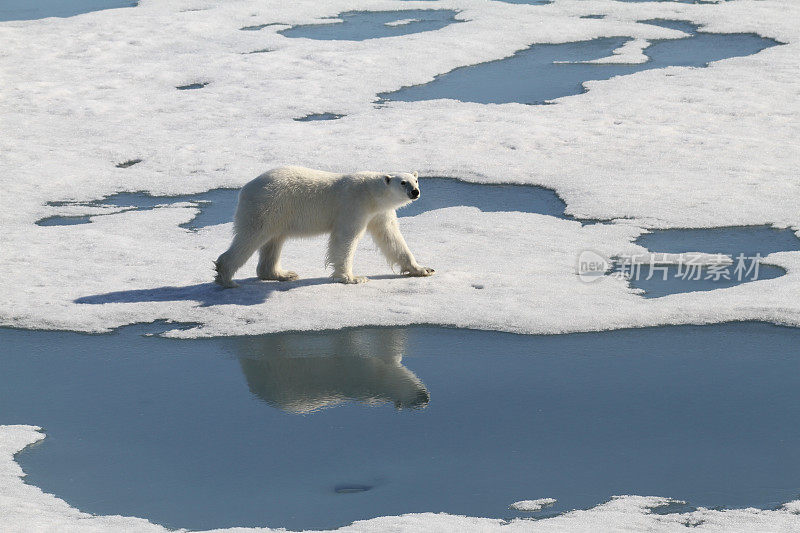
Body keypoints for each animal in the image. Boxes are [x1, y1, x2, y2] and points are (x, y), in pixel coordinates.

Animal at [216, 165, 434, 286]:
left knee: (274, 241)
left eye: (416, 180)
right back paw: (226, 278)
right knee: (251, 237)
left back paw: (283, 274)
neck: (372, 194)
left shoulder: (379, 213)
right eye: (403, 182)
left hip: (277, 214)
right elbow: (345, 238)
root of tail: (245, 188)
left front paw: (423, 269)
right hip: (267, 206)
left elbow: (392, 239)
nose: (415, 192)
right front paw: (352, 278)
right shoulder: (353, 205)